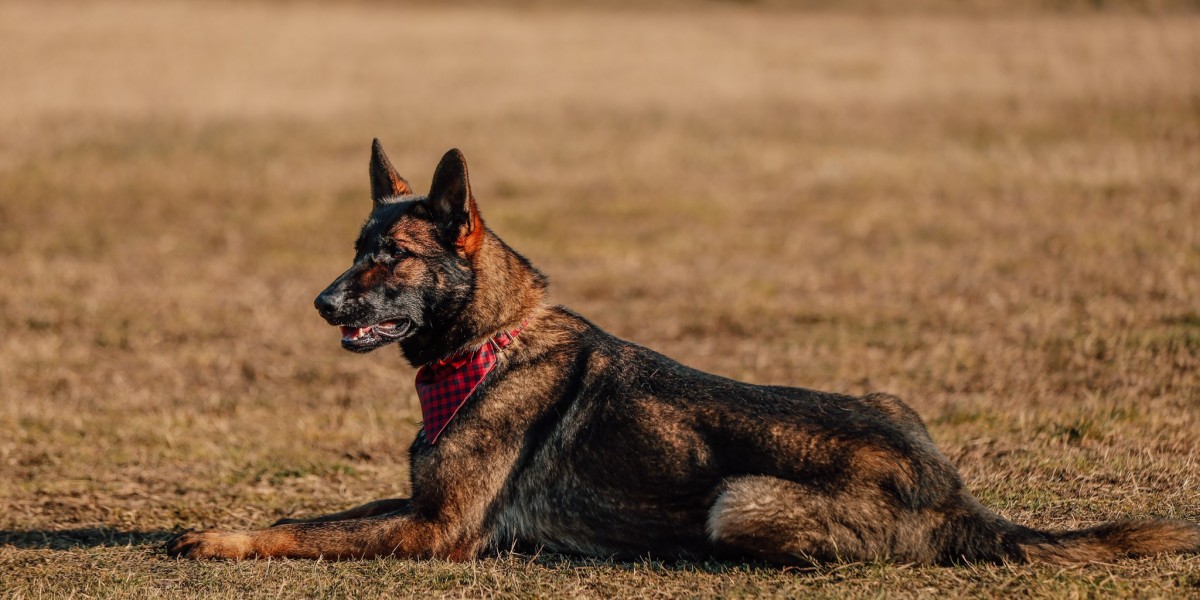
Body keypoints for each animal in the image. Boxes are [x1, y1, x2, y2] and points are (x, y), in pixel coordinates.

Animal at [166, 142, 1200, 564]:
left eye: (391, 257)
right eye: (355, 248)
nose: (320, 302)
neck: (489, 345)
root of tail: (956, 494)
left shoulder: (437, 531)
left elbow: (309, 533)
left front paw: (223, 539)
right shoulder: (418, 505)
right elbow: (320, 510)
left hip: (736, 500)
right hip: (887, 397)